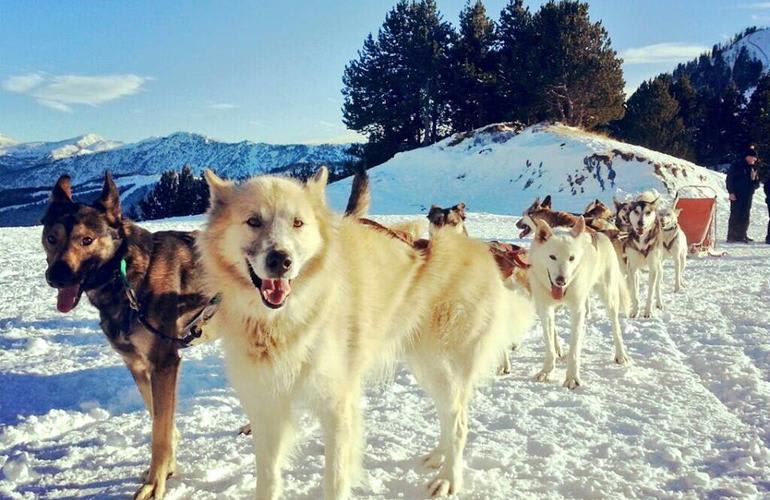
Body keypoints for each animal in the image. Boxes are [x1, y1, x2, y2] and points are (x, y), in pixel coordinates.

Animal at [195, 169, 532, 500]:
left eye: (298, 223)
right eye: (253, 221)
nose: (281, 260)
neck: (286, 319)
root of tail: (479, 251)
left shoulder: (336, 406)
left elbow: (334, 480)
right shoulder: (266, 406)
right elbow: (267, 480)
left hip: (443, 367)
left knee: (459, 422)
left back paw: (448, 478)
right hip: (428, 369)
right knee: (449, 417)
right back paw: (439, 455)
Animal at [528, 217, 632, 388]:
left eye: (571, 258)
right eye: (552, 257)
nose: (561, 281)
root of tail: (600, 234)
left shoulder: (577, 310)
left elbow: (574, 348)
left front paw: (572, 377)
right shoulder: (545, 309)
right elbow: (549, 344)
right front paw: (547, 371)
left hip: (609, 297)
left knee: (616, 327)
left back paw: (621, 355)